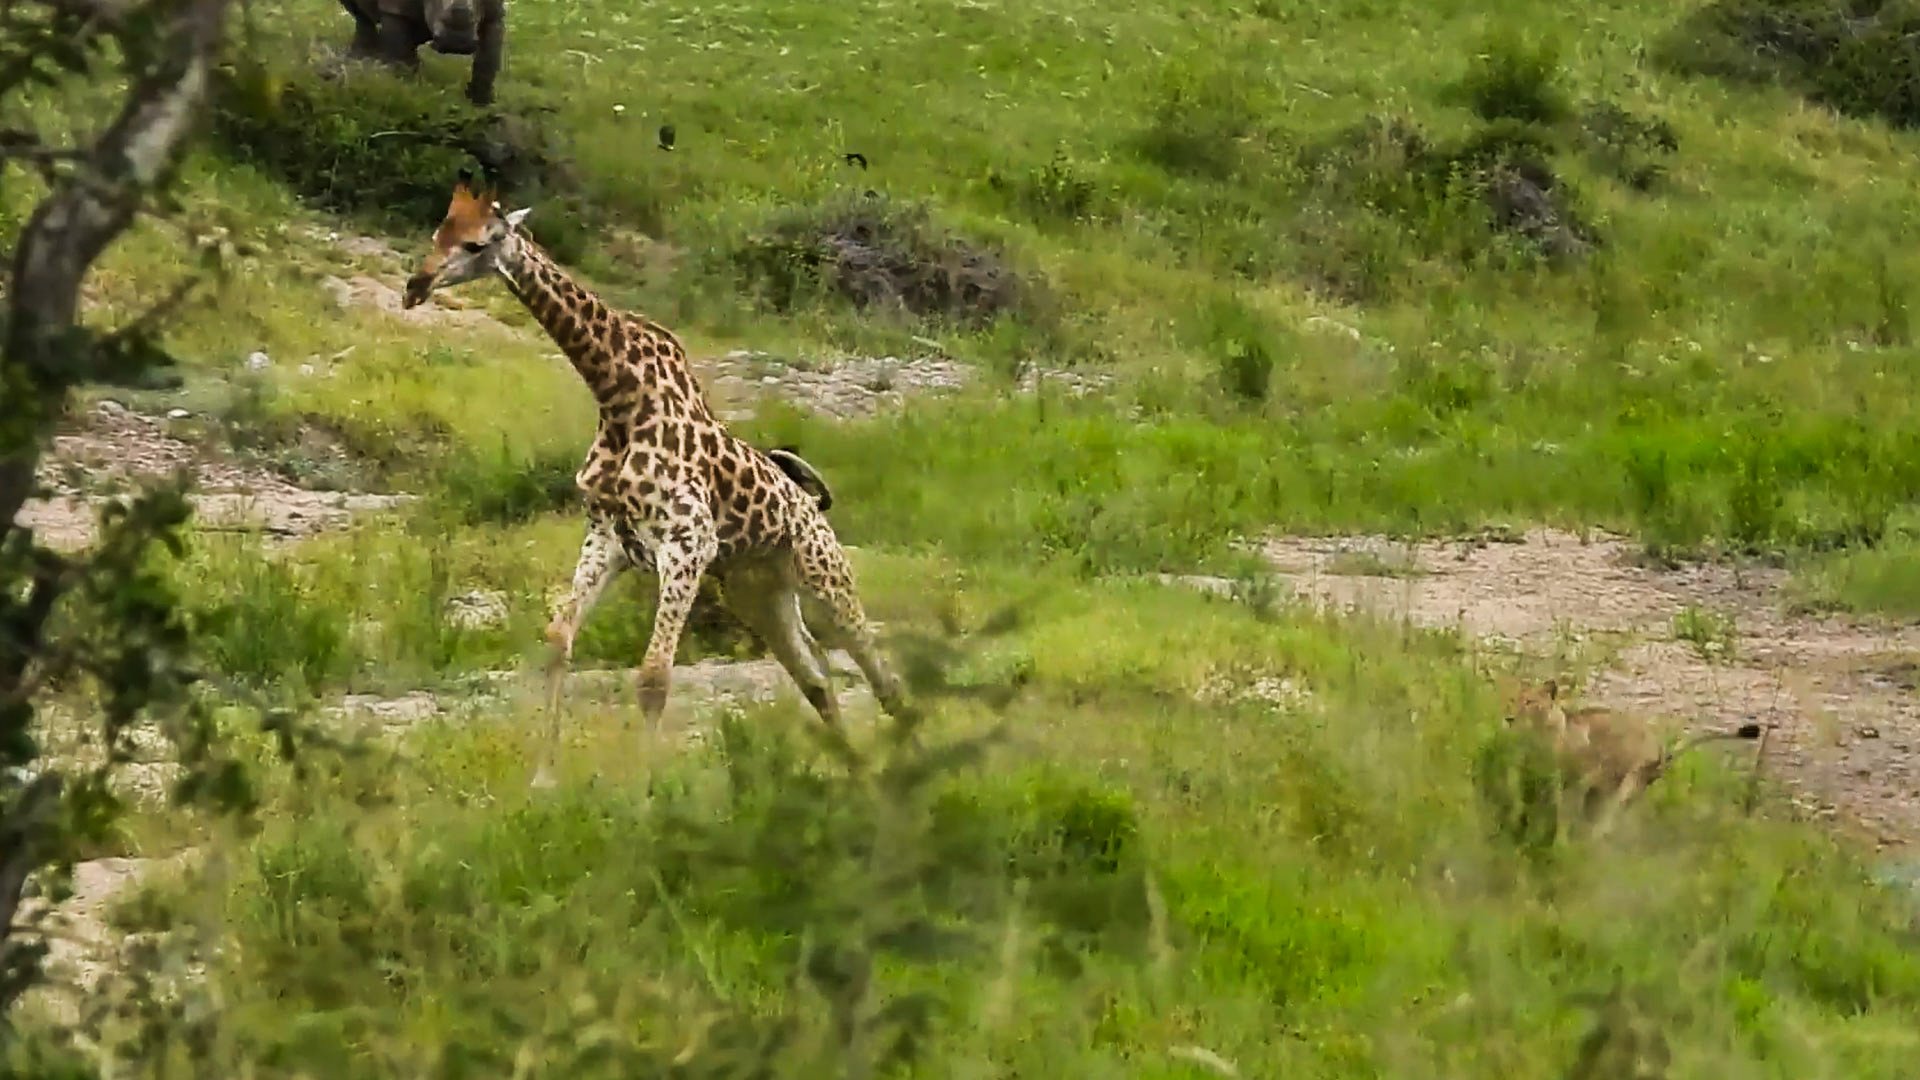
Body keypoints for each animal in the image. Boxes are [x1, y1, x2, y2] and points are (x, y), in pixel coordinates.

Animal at [336, 0, 506, 106]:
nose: (457, 43)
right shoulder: (395, 10)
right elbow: (400, 53)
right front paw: (407, 93)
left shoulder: (495, 14)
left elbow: (488, 58)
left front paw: (482, 103)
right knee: (360, 14)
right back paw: (361, 57)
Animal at [401, 170, 914, 784]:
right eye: (439, 231)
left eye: (478, 244)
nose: (414, 286)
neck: (617, 398)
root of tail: (811, 504)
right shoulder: (606, 539)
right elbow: (558, 641)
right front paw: (544, 778)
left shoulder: (688, 544)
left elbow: (653, 676)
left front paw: (647, 793)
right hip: (758, 592)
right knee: (815, 674)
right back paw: (853, 773)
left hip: (824, 578)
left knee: (882, 675)